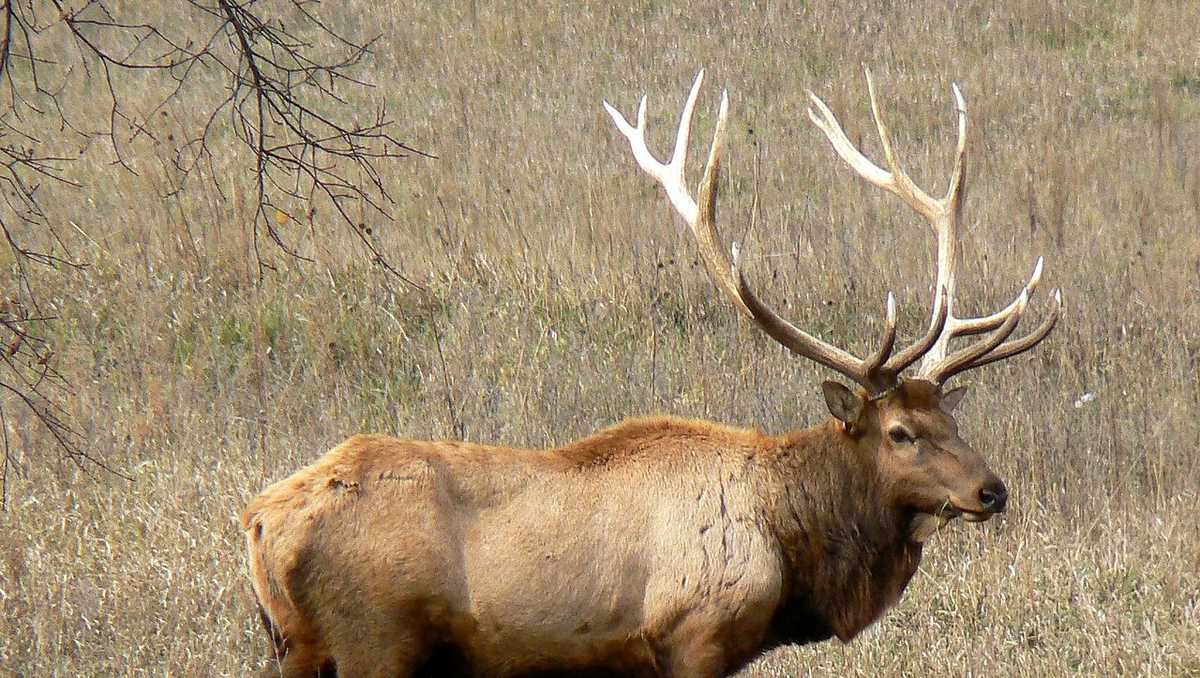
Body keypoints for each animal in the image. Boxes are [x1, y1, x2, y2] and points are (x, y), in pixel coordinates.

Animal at [241, 71, 1060, 672]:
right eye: (899, 432)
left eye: (950, 416)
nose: (992, 490)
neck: (790, 543)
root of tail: (259, 521)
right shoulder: (694, 635)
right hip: (375, 638)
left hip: (298, 647)